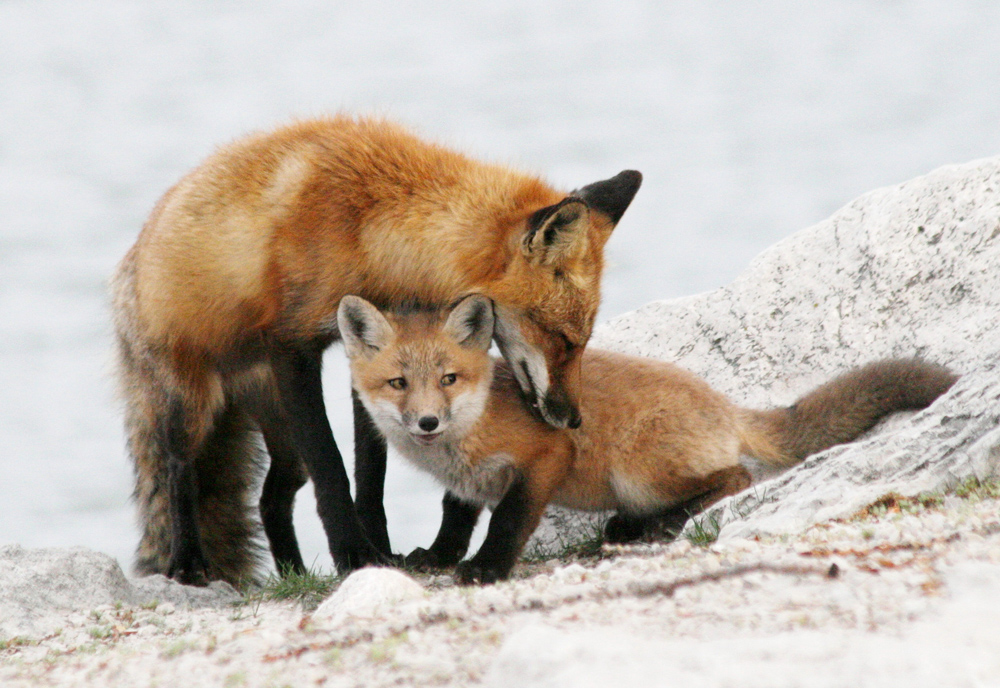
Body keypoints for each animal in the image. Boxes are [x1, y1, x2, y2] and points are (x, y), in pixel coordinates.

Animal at [109, 114, 640, 584]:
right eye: (566, 340)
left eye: (582, 340)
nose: (574, 420)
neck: (368, 234)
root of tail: (131, 260)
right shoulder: (291, 347)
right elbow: (332, 468)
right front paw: (354, 554)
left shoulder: (368, 347)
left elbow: (371, 474)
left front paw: (382, 551)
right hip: (193, 406)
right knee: (179, 473)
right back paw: (188, 564)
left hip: (282, 438)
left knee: (270, 499)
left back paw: (294, 575)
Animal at [342, 292, 960, 584]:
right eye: (398, 383)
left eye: (449, 379)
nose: (427, 423)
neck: (463, 438)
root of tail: (724, 406)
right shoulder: (469, 481)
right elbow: (454, 519)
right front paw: (436, 557)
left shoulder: (545, 455)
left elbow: (508, 522)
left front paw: (486, 570)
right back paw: (631, 527)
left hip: (638, 473)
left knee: (734, 477)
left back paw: (657, 523)